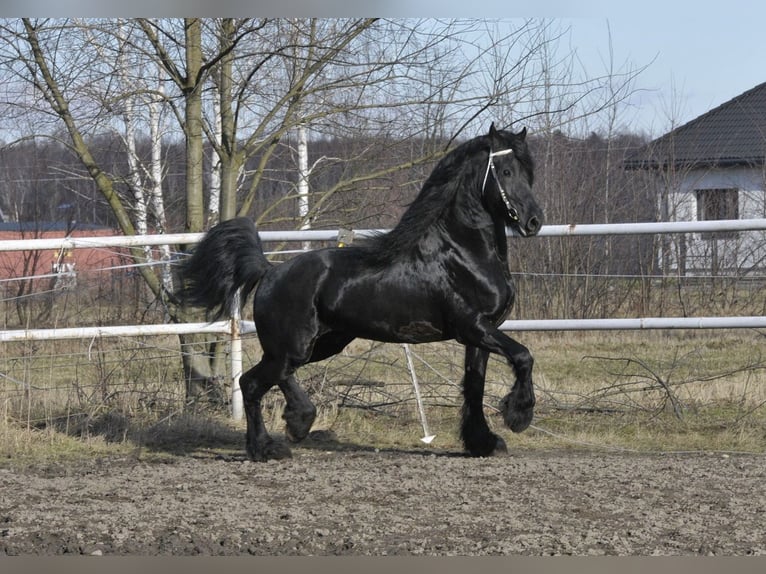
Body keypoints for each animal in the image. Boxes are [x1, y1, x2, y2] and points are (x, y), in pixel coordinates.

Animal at [177, 122, 544, 464]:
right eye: (506, 171)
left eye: (528, 172)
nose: (534, 222)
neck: (461, 253)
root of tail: (269, 271)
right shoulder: (473, 327)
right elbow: (523, 356)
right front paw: (518, 416)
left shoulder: (480, 335)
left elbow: (475, 386)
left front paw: (483, 442)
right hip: (295, 346)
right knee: (255, 382)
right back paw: (272, 444)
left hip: (323, 342)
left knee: (269, 377)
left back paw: (290, 427)